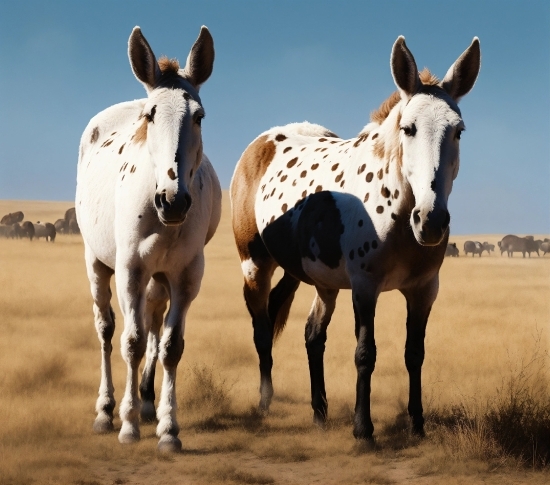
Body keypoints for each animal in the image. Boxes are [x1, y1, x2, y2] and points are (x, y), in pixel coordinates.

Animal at [77, 25, 222, 450]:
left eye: (199, 116)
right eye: (151, 115)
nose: (172, 200)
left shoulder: (187, 277)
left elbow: (170, 346)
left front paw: (168, 427)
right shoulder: (131, 270)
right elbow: (133, 341)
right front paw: (127, 425)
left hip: (159, 278)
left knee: (154, 323)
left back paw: (144, 401)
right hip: (97, 263)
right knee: (108, 330)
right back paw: (107, 409)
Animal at [231, 36, 480, 438]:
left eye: (458, 130)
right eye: (409, 128)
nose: (431, 221)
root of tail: (260, 145)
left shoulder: (424, 290)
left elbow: (415, 354)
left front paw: (417, 425)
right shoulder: (364, 287)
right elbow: (366, 353)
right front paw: (363, 428)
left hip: (320, 280)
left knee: (312, 335)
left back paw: (320, 412)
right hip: (255, 265)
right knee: (262, 331)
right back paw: (265, 403)